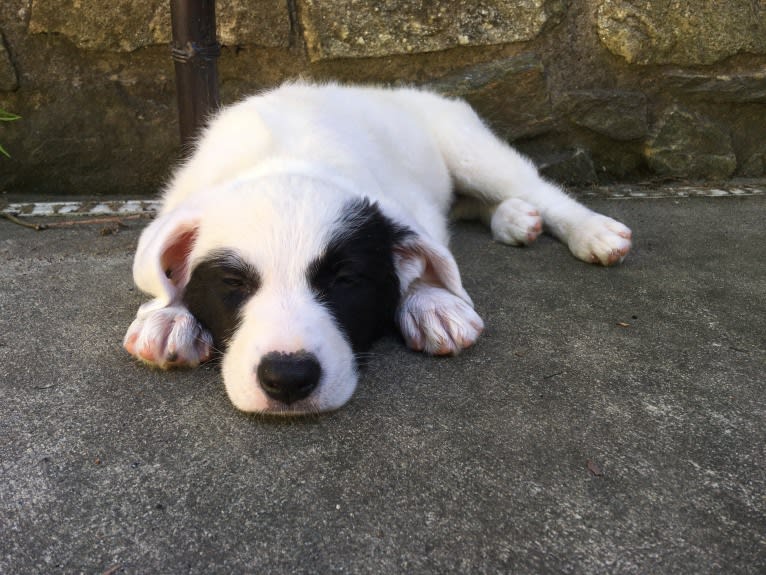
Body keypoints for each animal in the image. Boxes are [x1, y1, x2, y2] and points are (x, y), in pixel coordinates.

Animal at [123, 82, 632, 414]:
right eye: (232, 282)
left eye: (345, 280)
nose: (288, 379)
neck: (286, 158)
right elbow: (164, 280)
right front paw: (169, 316)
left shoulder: (409, 206)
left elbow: (424, 258)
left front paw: (432, 303)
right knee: (474, 203)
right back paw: (513, 218)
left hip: (468, 148)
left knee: (535, 187)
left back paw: (592, 231)